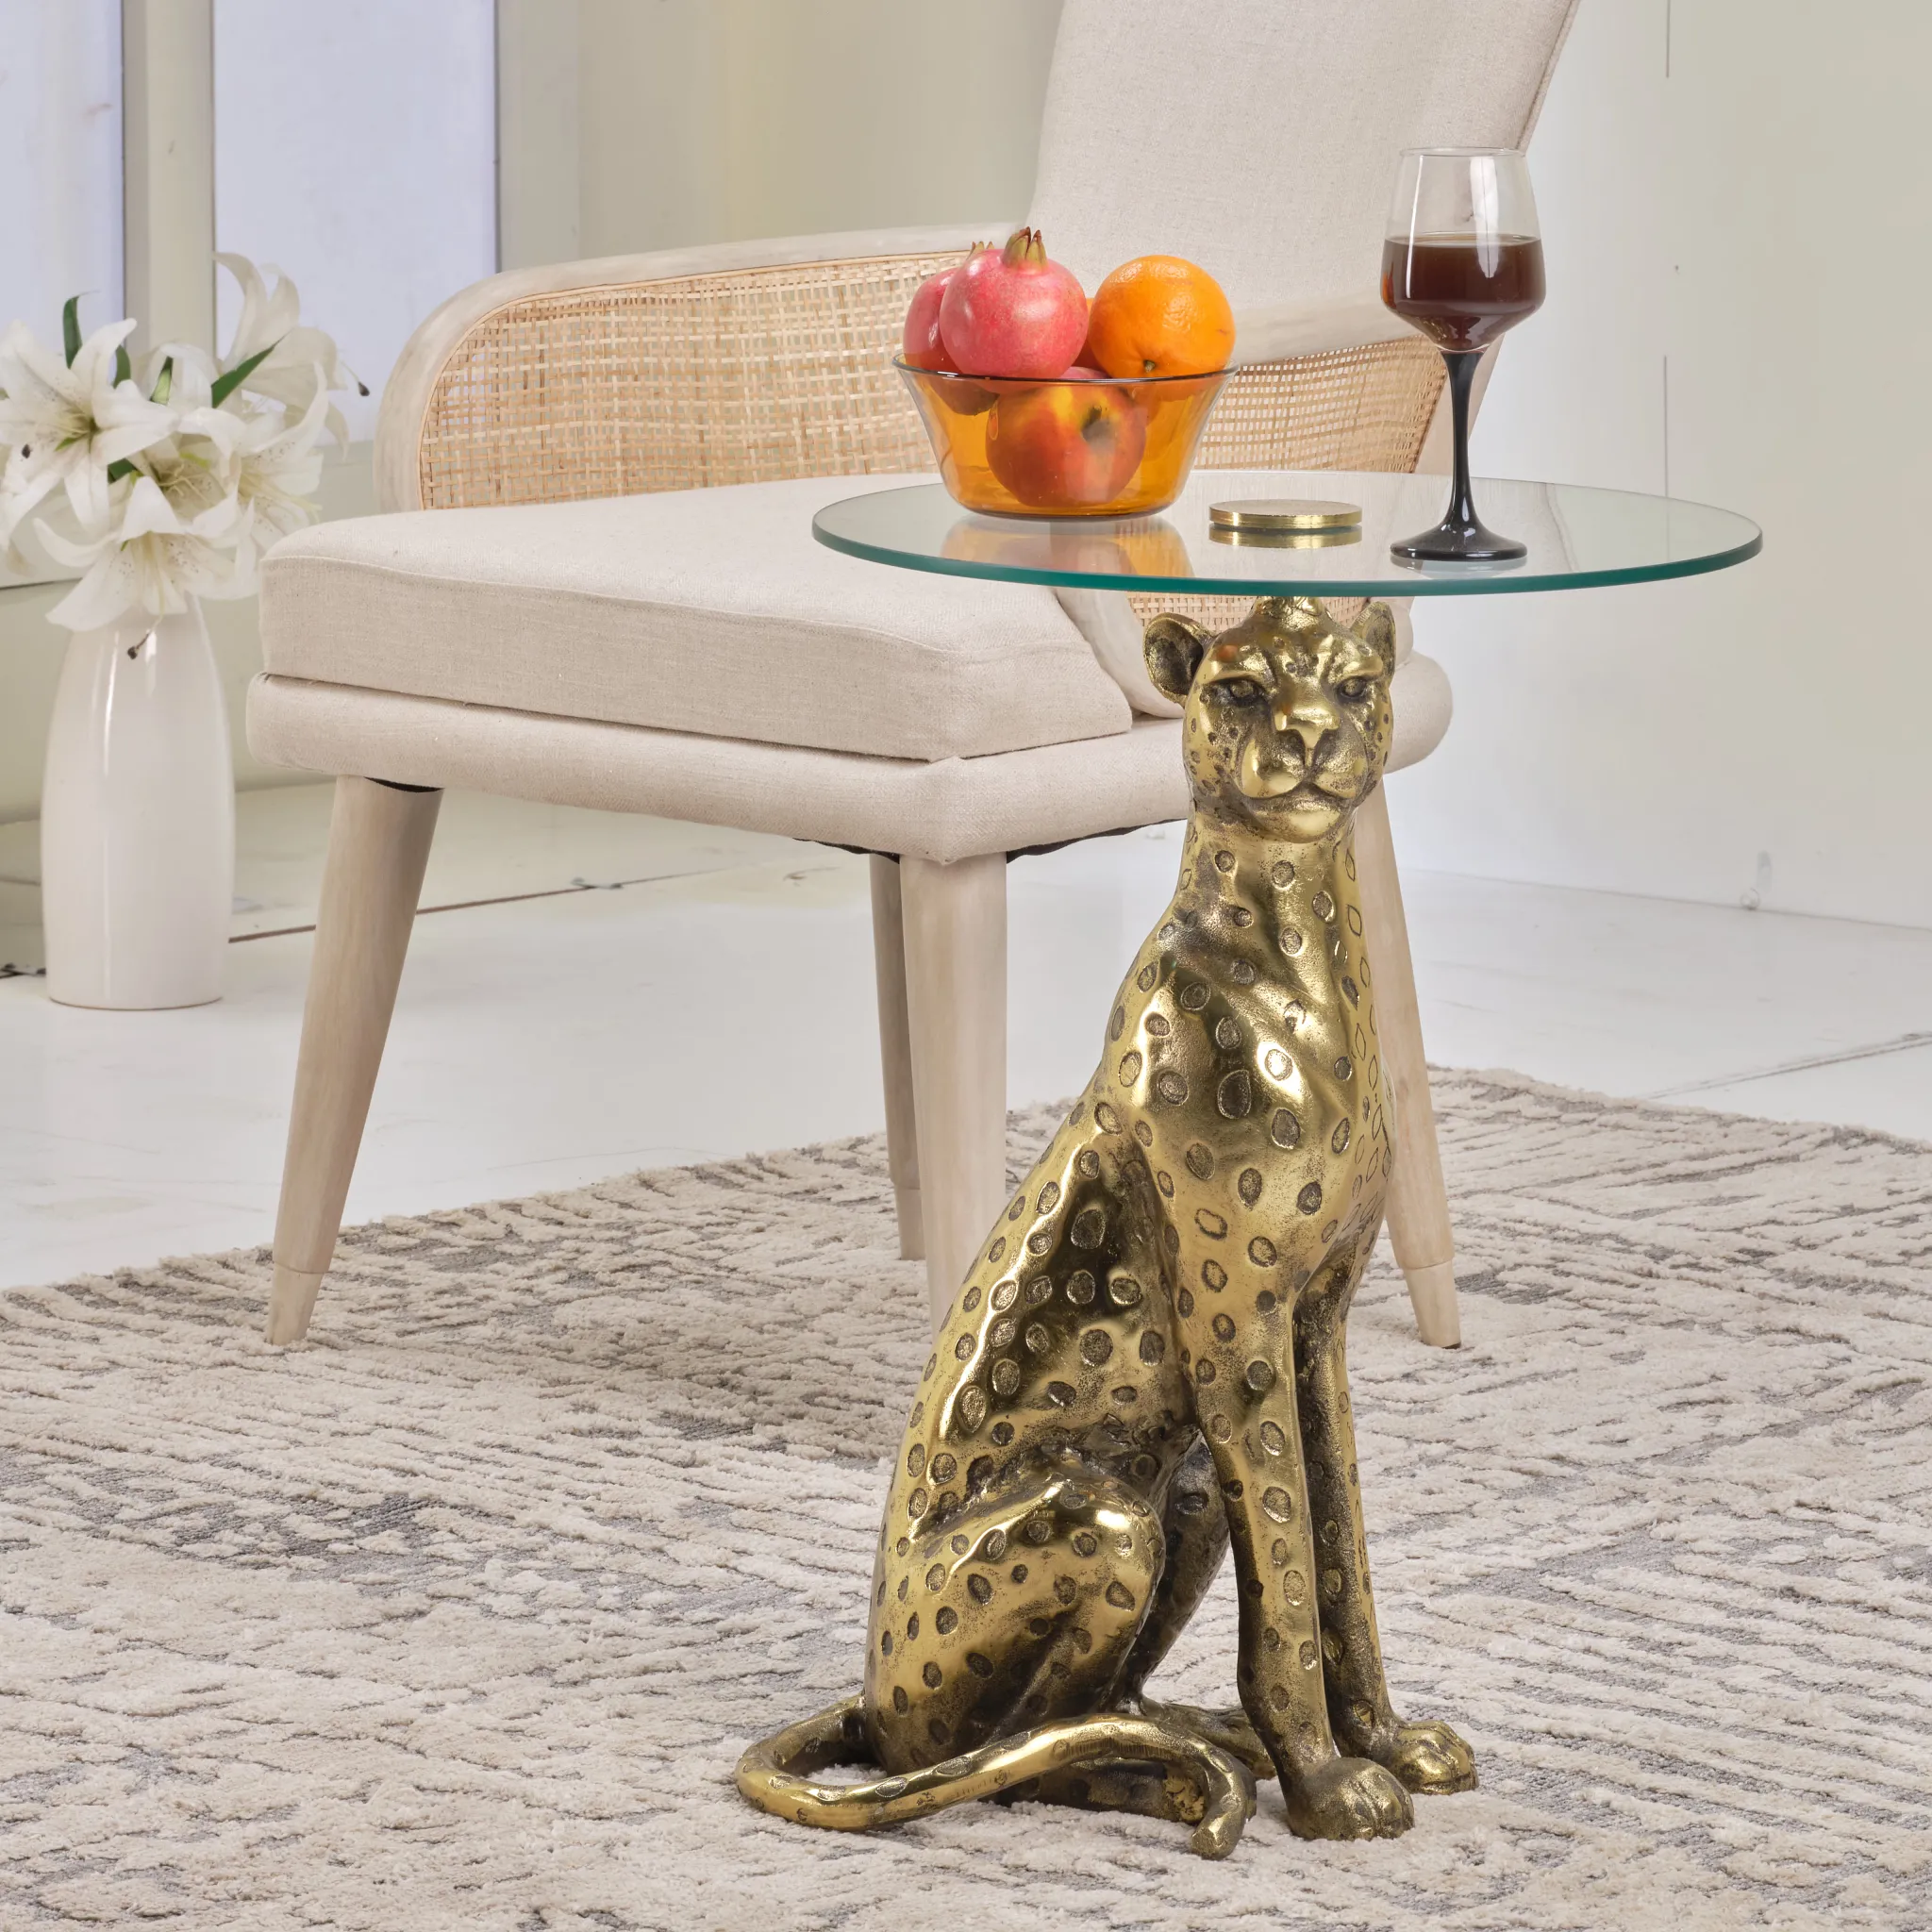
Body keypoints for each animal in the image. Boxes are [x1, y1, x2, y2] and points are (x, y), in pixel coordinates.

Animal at [738, 595, 1475, 1858]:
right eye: (1239, 688)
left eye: (1352, 682)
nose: (1311, 737)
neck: (1289, 967)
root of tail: (873, 1714)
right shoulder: (1236, 1337)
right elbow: (1287, 1579)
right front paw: (1326, 1780)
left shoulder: (1313, 1327)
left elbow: (1338, 1549)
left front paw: (1380, 1737)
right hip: (1103, 1514)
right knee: (1012, 1759)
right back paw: (1166, 1772)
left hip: (1175, 1479)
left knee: (1085, 1704)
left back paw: (1189, 1730)